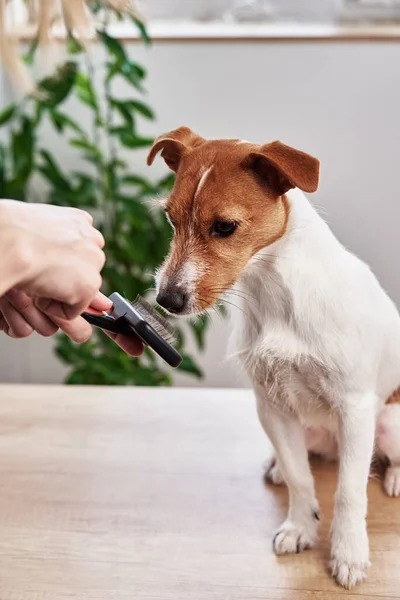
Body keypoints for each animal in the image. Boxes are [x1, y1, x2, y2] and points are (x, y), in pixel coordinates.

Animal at [145, 124, 400, 588]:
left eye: (224, 226)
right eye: (171, 219)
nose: (166, 300)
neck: (273, 294)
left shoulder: (355, 409)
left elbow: (349, 492)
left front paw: (348, 554)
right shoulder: (272, 406)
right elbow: (301, 479)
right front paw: (300, 526)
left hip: (389, 423)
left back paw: (393, 478)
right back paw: (279, 467)